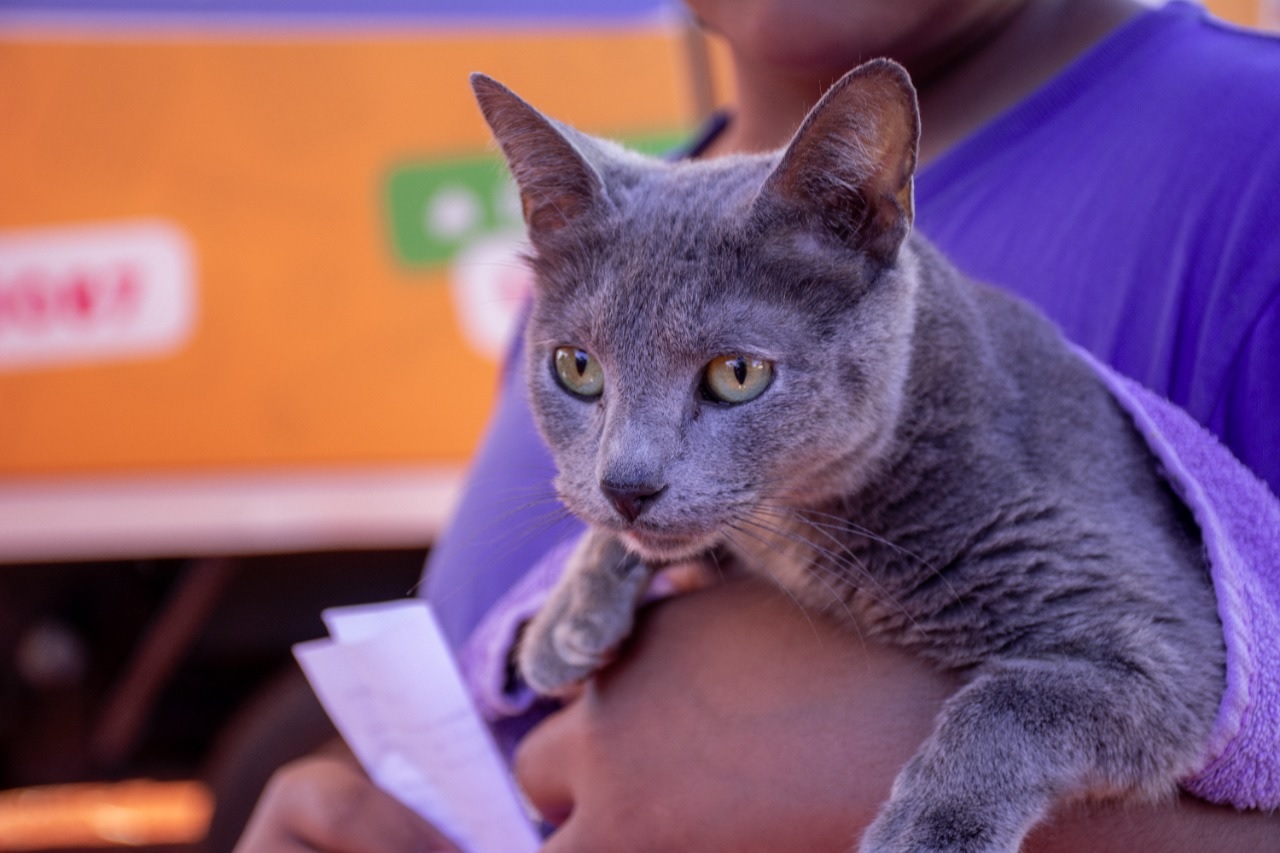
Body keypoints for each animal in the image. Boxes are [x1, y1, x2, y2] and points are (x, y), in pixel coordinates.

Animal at [468, 61, 1218, 850]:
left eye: (738, 374)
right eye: (576, 367)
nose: (627, 486)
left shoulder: (1157, 632)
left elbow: (1012, 705)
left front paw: (924, 835)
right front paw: (567, 620)